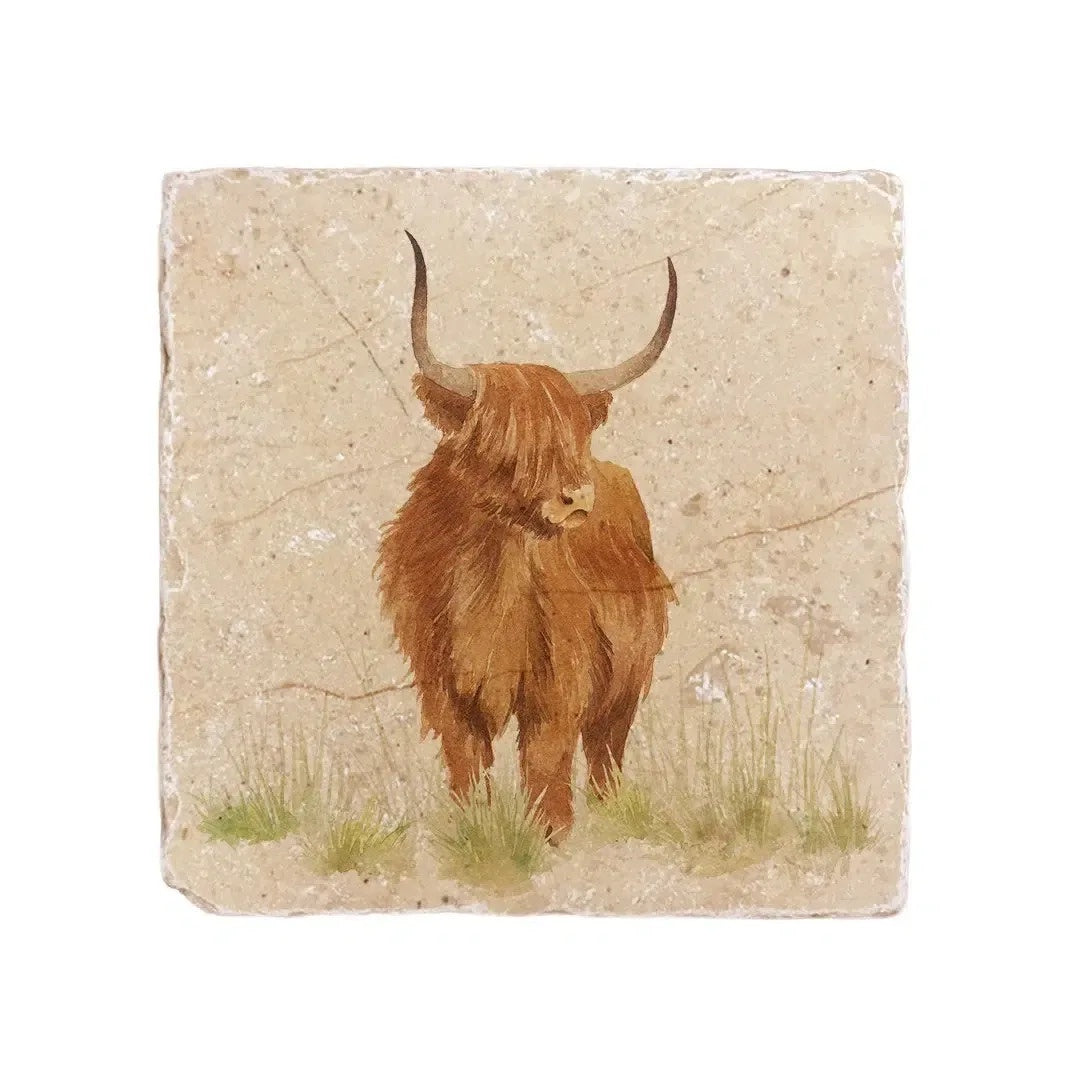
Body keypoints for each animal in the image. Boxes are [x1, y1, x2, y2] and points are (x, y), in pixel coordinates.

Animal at [377, 232, 676, 839]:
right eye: (506, 437)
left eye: (574, 433)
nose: (576, 499)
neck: (489, 578)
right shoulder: (443, 687)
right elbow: (468, 764)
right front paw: (474, 831)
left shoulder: (560, 684)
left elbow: (545, 761)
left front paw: (552, 836)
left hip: (628, 681)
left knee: (606, 752)